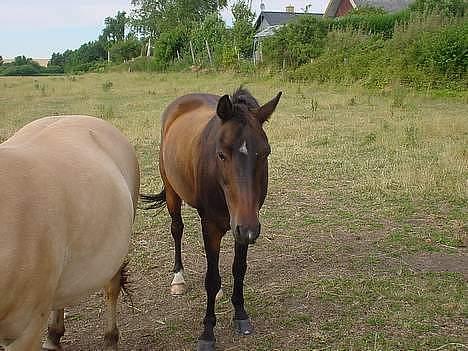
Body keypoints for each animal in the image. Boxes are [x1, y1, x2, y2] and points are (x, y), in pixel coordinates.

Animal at [143, 87, 282, 350]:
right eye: (221, 155)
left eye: (265, 153)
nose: (249, 228)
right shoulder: (212, 226)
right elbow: (211, 278)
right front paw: (207, 333)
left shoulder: (242, 226)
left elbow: (238, 269)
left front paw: (240, 315)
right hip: (172, 192)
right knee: (177, 229)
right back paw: (178, 278)